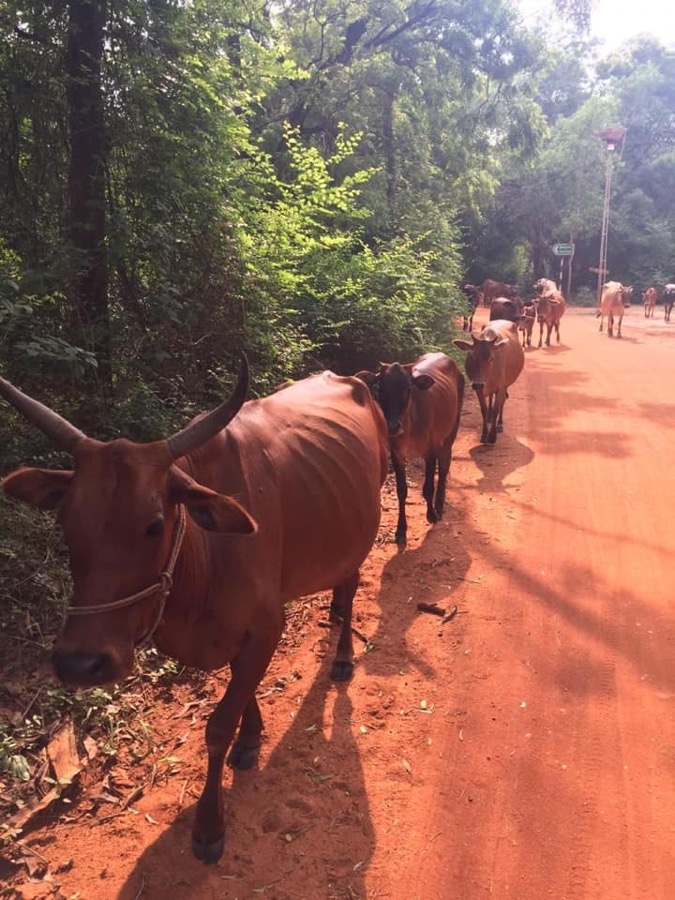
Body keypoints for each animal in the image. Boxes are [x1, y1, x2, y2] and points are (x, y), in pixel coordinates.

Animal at [0, 359, 388, 864]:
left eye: (154, 525)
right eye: (66, 522)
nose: (81, 663)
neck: (205, 557)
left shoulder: (266, 628)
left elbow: (219, 726)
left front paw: (208, 826)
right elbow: (242, 691)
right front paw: (251, 736)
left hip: (362, 530)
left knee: (351, 582)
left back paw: (342, 655)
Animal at [356, 352, 463, 546]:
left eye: (407, 390)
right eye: (380, 389)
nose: (392, 426)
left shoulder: (430, 452)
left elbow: (428, 487)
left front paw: (432, 514)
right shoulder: (397, 454)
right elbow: (401, 491)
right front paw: (400, 531)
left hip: (451, 430)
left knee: (445, 465)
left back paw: (439, 505)